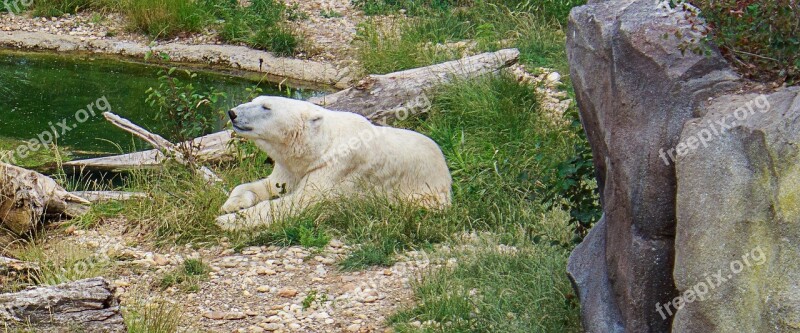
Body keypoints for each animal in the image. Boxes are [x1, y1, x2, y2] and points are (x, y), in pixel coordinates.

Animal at [216, 96, 454, 230]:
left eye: (266, 107)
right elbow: (271, 185)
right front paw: (232, 204)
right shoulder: (292, 167)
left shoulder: (337, 166)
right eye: (254, 100)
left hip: (423, 193)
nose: (232, 112)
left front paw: (227, 221)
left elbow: (301, 202)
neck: (321, 145)